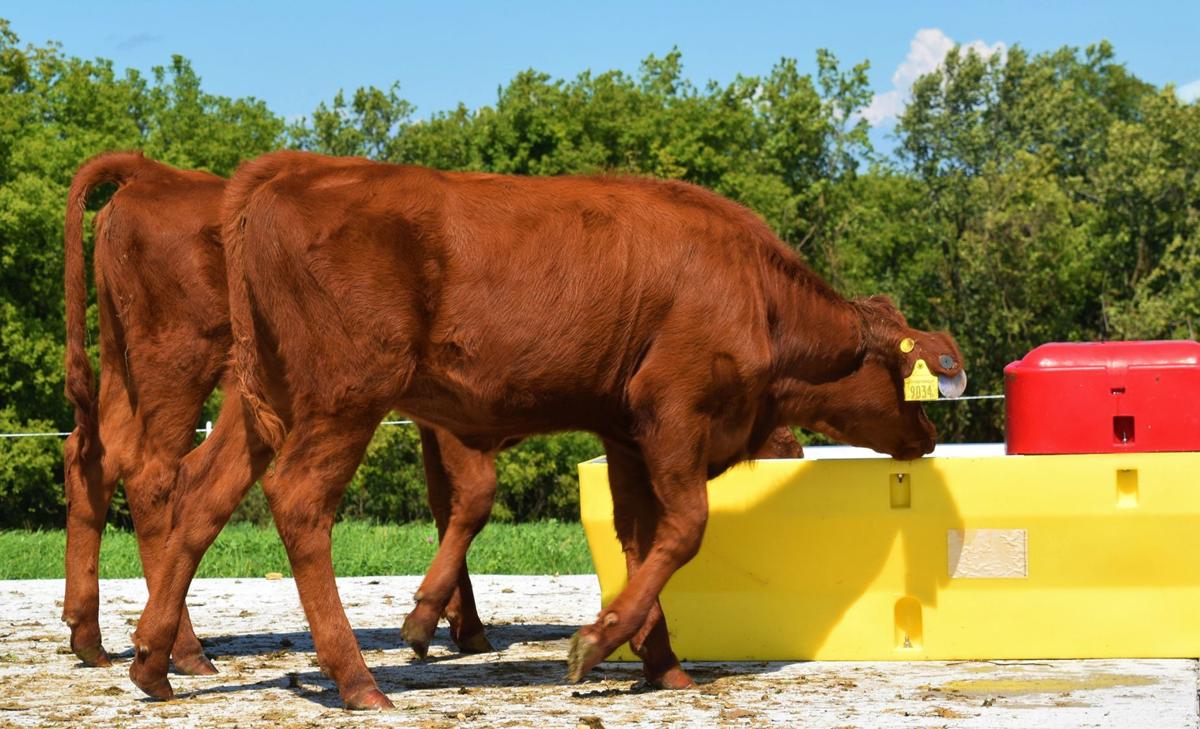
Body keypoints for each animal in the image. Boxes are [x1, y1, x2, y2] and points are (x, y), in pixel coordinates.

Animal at [125, 150, 966, 709]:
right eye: (913, 376)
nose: (927, 438)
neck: (751, 286)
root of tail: (287, 168)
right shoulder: (673, 411)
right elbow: (684, 528)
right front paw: (596, 641)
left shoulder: (626, 433)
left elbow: (639, 540)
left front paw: (657, 657)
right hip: (342, 398)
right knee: (299, 501)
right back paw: (356, 679)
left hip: (259, 400)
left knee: (202, 497)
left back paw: (153, 661)